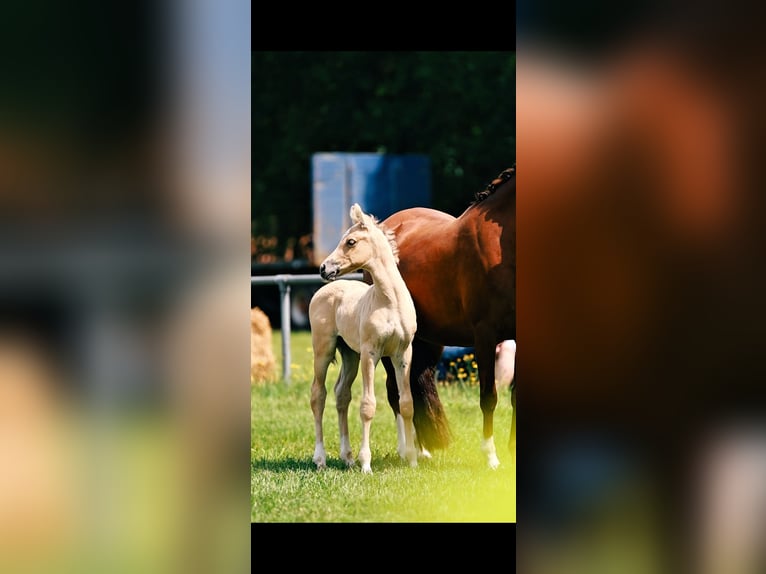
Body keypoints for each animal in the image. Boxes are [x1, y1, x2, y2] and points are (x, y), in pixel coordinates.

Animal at [308, 203, 419, 474]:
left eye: (350, 241)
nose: (324, 268)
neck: (389, 301)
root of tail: (324, 290)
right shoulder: (371, 353)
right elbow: (368, 406)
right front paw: (366, 464)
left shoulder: (403, 353)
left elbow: (407, 404)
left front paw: (412, 460)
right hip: (324, 350)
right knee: (318, 395)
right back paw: (321, 458)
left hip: (350, 355)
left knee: (341, 394)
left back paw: (347, 457)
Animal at [377, 166, 516, 469]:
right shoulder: (485, 336)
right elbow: (489, 397)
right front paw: (491, 457)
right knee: (395, 391)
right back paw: (406, 451)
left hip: (427, 339)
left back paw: (422, 451)